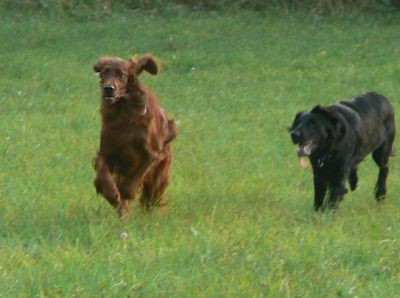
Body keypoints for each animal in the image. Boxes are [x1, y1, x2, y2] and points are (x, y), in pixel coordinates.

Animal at [93, 54, 177, 217]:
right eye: (104, 72)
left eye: (122, 74)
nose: (108, 89)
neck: (123, 114)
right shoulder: (106, 153)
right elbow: (103, 173)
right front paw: (112, 195)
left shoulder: (151, 155)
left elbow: (131, 184)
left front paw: (123, 195)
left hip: (159, 175)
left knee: (151, 196)